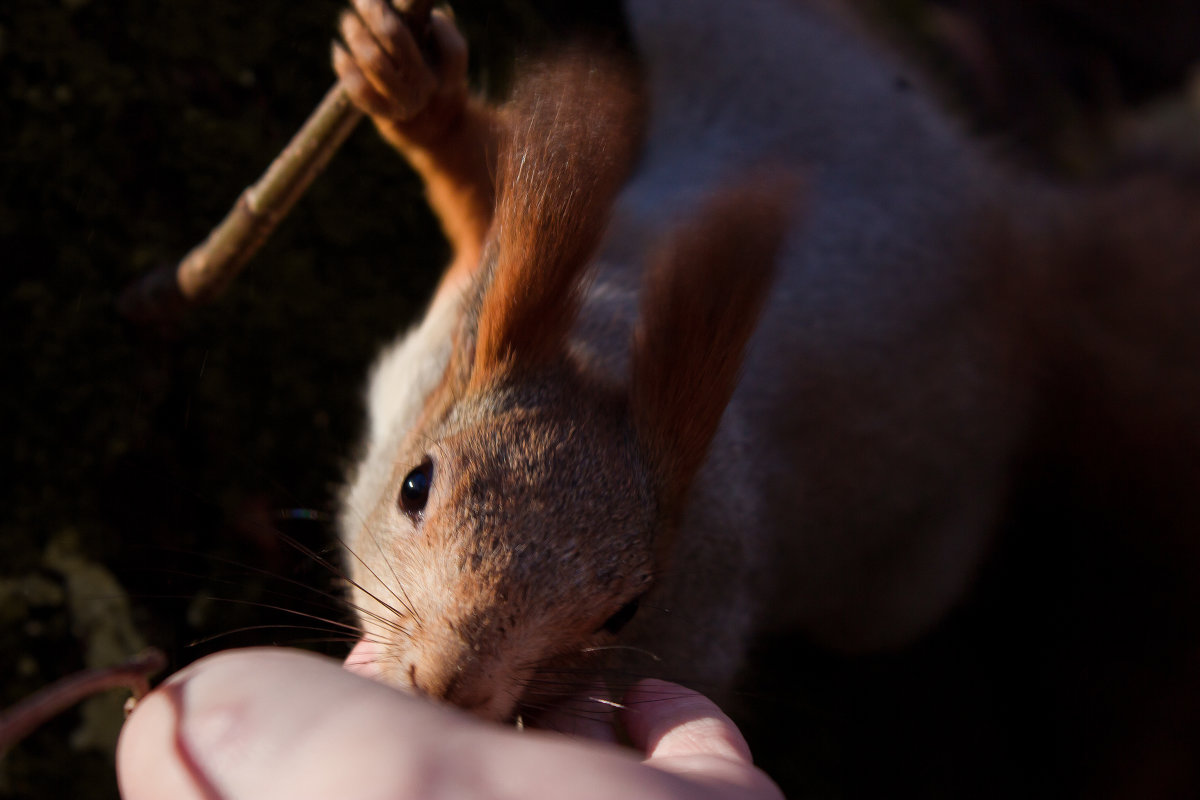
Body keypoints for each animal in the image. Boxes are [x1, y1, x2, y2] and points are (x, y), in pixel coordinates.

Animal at [328, 0, 1200, 786]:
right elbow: (485, 211)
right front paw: (411, 91)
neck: (613, 338)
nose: (449, 682)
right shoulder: (466, 316)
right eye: (415, 486)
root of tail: (1023, 239)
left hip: (904, 582)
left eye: (624, 613)